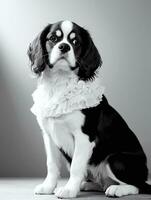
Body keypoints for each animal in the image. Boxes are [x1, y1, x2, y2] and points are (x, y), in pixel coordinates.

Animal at [27, 20, 151, 198]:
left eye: (75, 42)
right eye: (53, 38)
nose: (64, 46)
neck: (60, 83)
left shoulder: (84, 137)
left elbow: (76, 166)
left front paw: (69, 190)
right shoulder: (48, 136)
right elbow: (51, 164)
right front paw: (48, 187)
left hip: (116, 159)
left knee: (138, 185)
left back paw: (117, 189)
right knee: (103, 182)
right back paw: (88, 185)